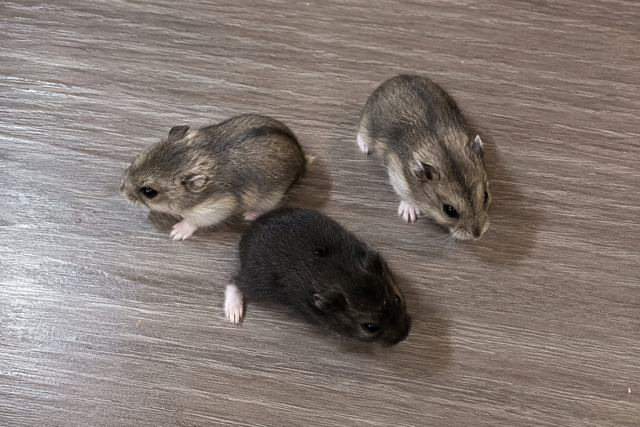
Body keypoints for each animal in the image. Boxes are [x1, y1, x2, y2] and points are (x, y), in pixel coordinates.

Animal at [121, 114, 309, 240]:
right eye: (136, 160)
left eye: (149, 192)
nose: (121, 189)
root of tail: (303, 159)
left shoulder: (214, 209)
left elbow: (193, 221)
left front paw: (176, 232)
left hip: (270, 199)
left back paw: (249, 215)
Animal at [224, 208, 411, 346]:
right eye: (370, 327)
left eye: (397, 299)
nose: (404, 336)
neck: (344, 276)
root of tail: (249, 231)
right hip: (259, 282)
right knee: (234, 282)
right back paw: (233, 314)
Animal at [357, 75, 491, 240]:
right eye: (449, 210)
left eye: (486, 195)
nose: (478, 235)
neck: (442, 151)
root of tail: (394, 79)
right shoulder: (397, 174)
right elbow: (406, 197)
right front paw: (408, 216)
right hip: (366, 125)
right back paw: (365, 148)